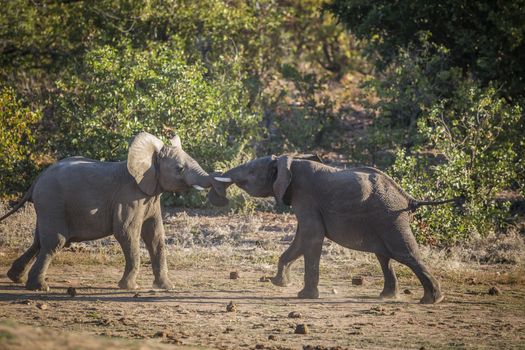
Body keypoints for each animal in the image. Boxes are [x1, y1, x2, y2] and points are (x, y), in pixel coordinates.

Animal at [0, 133, 217, 292]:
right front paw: (129, 288)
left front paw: (166, 288)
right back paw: (40, 288)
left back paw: (16, 278)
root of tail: (38, 178)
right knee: (55, 241)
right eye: (179, 168)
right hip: (52, 202)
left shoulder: (150, 197)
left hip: (48, 205)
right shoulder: (128, 197)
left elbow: (155, 236)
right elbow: (126, 232)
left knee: (39, 241)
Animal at [209, 155, 458, 304]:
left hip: (390, 218)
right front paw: (279, 282)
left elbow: (311, 237)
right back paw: (387, 296)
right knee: (384, 256)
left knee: (405, 254)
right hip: (383, 219)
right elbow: (300, 239)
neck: (289, 160)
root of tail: (407, 196)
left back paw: (431, 300)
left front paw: (304, 296)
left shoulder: (305, 196)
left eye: (251, 171)